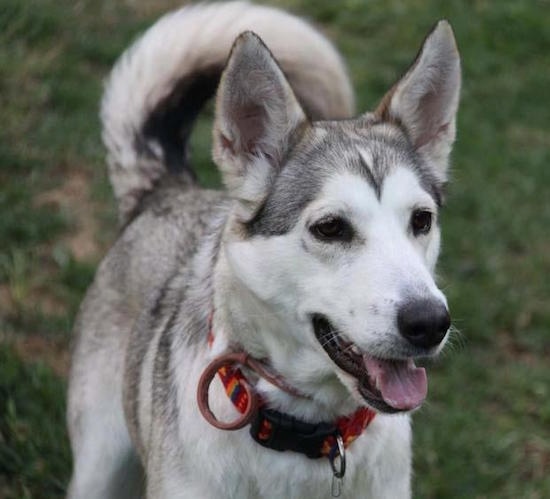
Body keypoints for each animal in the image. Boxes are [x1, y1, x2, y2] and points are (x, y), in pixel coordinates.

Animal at [66, 1, 462, 498]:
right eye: (331, 228)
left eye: (421, 220)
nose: (430, 322)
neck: (307, 436)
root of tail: (168, 189)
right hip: (98, 464)